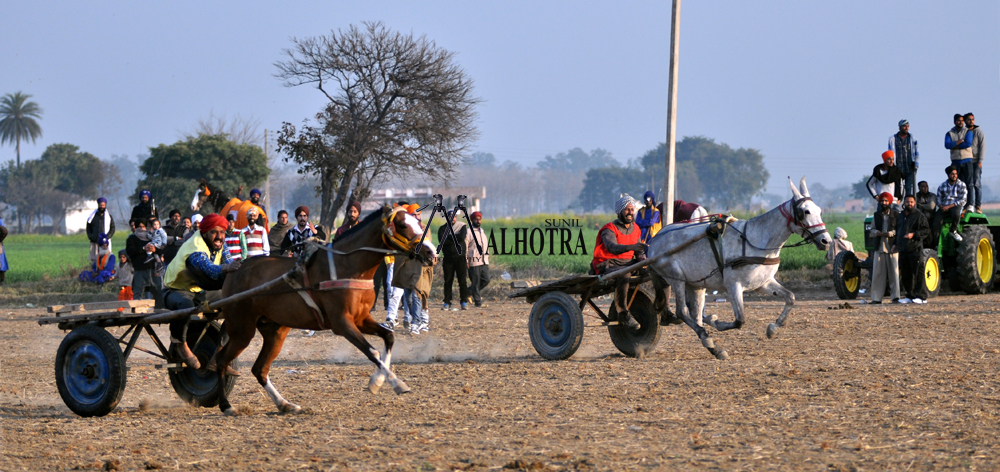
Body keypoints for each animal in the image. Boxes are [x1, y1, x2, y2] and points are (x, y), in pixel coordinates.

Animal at [215, 205, 434, 414]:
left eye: (418, 222)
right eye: (403, 225)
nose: (431, 252)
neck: (348, 266)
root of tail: (235, 271)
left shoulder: (361, 319)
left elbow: (388, 337)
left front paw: (378, 381)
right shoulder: (342, 323)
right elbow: (373, 352)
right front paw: (396, 383)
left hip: (274, 331)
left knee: (259, 369)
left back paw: (285, 404)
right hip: (242, 331)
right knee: (221, 359)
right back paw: (226, 405)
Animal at [644, 176, 832, 358]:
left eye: (819, 211)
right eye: (805, 211)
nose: (826, 241)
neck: (755, 240)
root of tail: (655, 241)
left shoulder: (763, 283)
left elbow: (790, 297)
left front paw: (773, 328)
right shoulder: (733, 285)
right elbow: (740, 320)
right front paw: (718, 323)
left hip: (696, 284)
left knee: (695, 315)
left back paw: (712, 345)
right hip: (676, 279)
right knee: (682, 312)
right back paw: (709, 339)